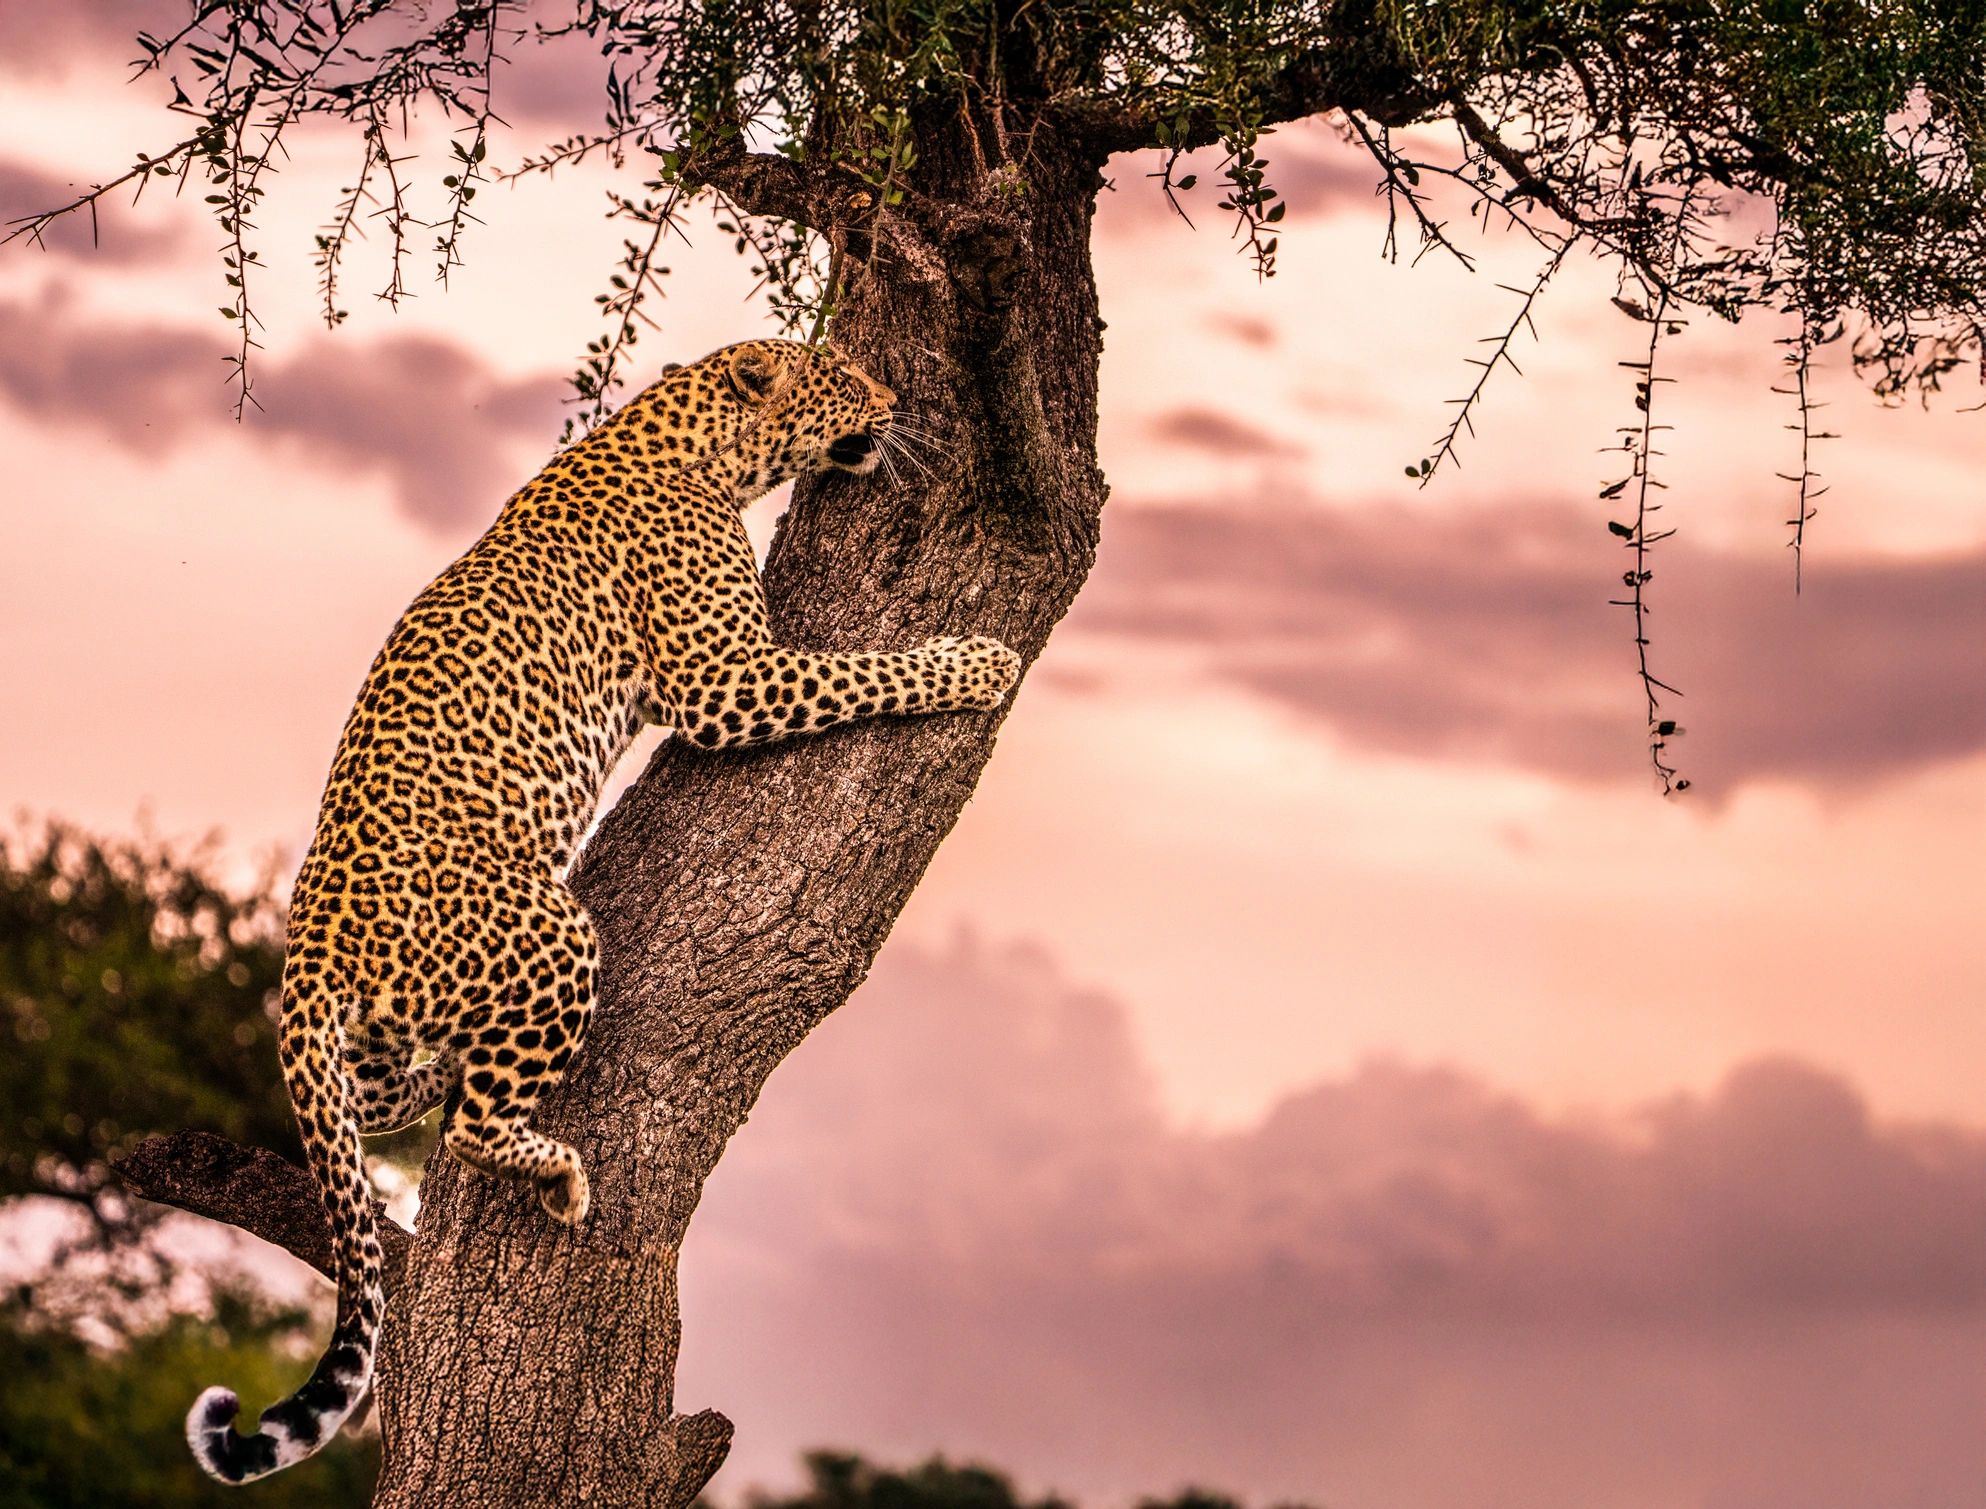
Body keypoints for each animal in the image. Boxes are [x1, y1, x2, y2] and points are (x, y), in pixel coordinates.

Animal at [186, 338, 1020, 1483]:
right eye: (845, 377)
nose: (896, 398)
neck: (693, 438)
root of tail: (308, 948)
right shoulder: (728, 679)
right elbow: (869, 672)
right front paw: (979, 662)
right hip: (551, 929)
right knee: (472, 1128)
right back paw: (560, 1177)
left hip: (379, 1032)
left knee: (392, 1100)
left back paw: (444, 1076)